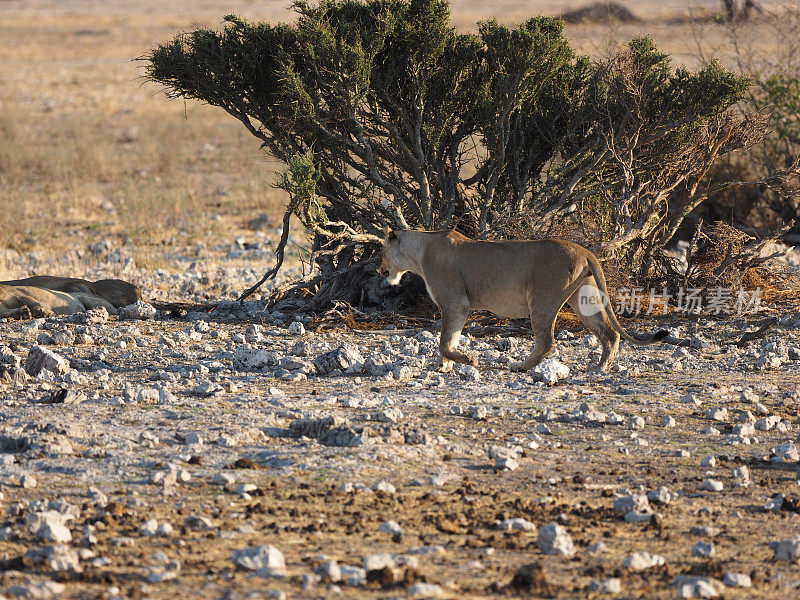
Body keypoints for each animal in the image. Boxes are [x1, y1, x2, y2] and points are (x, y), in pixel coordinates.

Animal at [0, 276, 141, 322]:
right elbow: (9, 312)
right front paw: (23, 313)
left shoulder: (19, 293)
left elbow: (33, 302)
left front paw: (44, 312)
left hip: (91, 299)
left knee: (116, 309)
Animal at [378, 229, 664, 372]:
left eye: (381, 251)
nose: (380, 270)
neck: (420, 251)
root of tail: (585, 251)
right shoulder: (457, 305)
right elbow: (451, 339)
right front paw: (444, 366)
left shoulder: (455, 302)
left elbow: (444, 341)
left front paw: (468, 361)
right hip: (584, 300)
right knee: (609, 334)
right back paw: (600, 368)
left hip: (541, 298)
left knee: (546, 342)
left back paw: (520, 366)